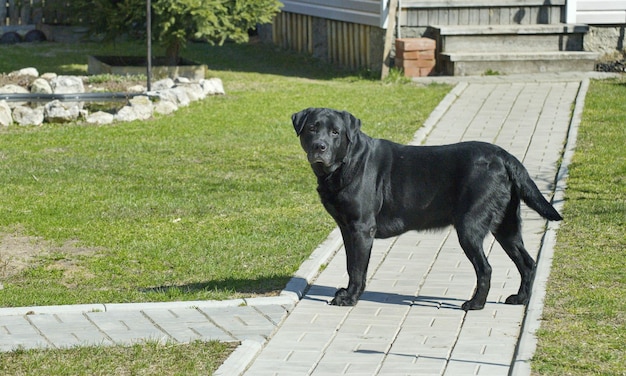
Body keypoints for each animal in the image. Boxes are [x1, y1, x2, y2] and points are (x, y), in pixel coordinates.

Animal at [292, 107, 560, 310]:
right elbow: (350, 265)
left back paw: (475, 304)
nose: (320, 146)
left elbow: (358, 268)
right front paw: (347, 293)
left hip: (470, 227)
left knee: (486, 268)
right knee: (527, 263)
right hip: (507, 225)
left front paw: (349, 298)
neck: (345, 164)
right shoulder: (347, 228)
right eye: (312, 128)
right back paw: (520, 298)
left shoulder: (361, 228)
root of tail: (505, 157)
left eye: (335, 132)